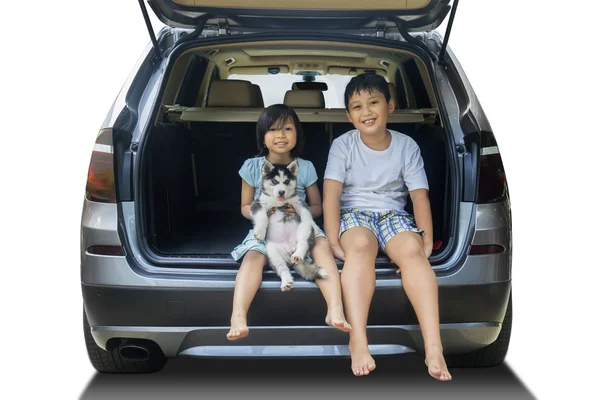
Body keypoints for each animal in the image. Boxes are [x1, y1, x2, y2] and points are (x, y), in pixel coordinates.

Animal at [252, 159, 330, 290]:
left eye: (286, 181)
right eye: (275, 181)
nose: (281, 192)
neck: (279, 202)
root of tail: (290, 251)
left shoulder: (298, 203)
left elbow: (306, 214)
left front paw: (314, 225)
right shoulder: (259, 203)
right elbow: (262, 216)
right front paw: (261, 232)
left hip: (303, 229)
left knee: (303, 241)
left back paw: (298, 255)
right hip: (272, 251)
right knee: (282, 268)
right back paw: (286, 281)